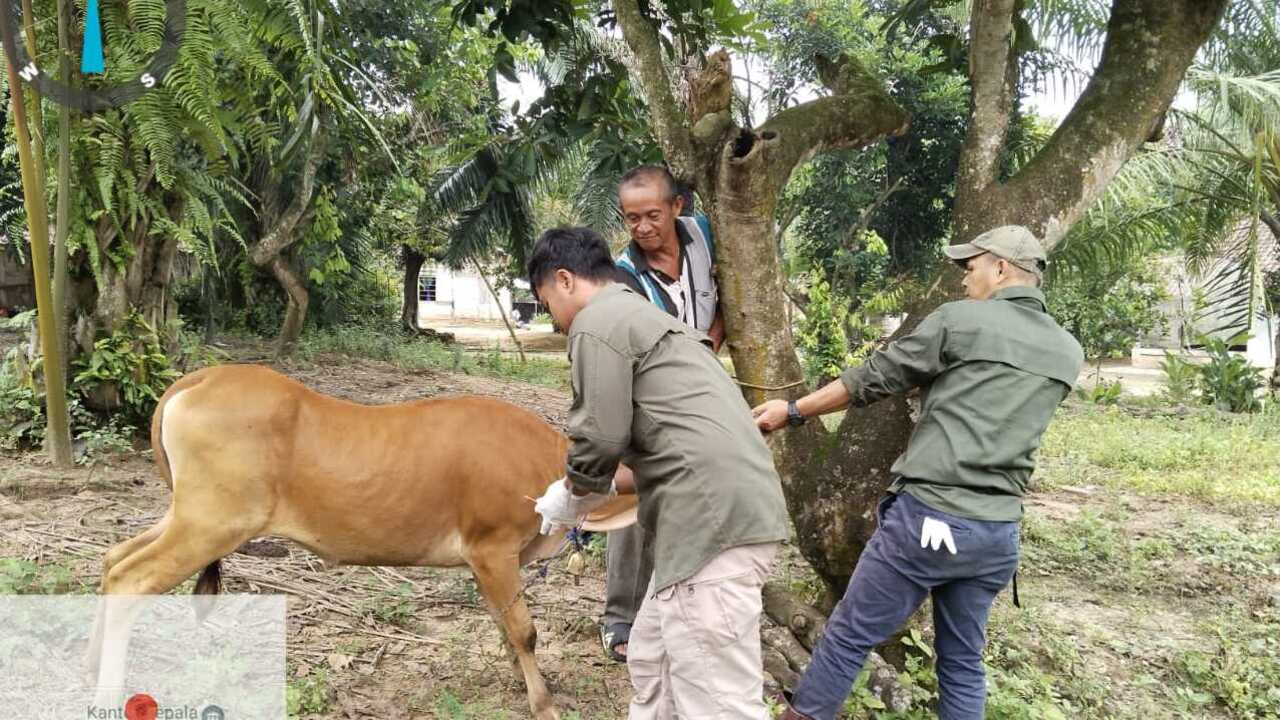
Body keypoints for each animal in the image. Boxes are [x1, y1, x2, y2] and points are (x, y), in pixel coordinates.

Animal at [83, 363, 624, 717]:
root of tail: (202, 378)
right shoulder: (493, 547)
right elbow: (524, 630)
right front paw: (543, 702)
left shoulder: (486, 561)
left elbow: (505, 625)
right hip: (213, 523)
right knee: (132, 578)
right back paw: (106, 691)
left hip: (191, 515)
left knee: (113, 559)